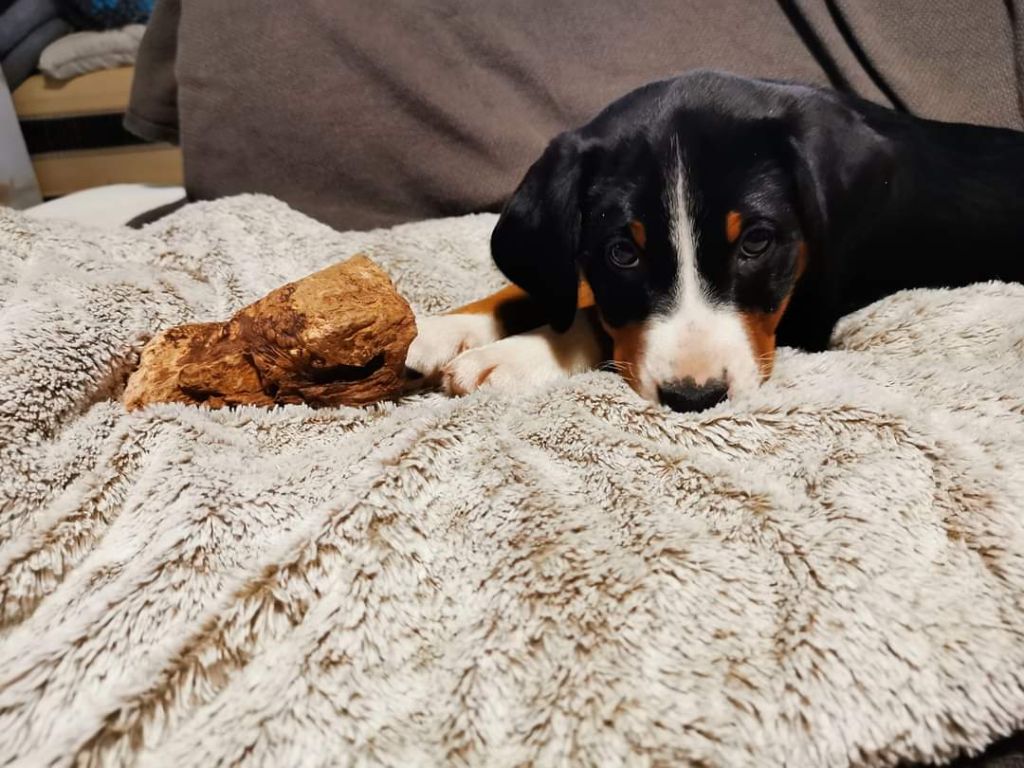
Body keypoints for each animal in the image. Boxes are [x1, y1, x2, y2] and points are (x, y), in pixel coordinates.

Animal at [407, 70, 1024, 415]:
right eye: (622, 252)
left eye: (756, 241)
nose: (694, 399)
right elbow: (548, 290)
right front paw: (437, 331)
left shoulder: (808, 311)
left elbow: (594, 320)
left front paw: (512, 356)